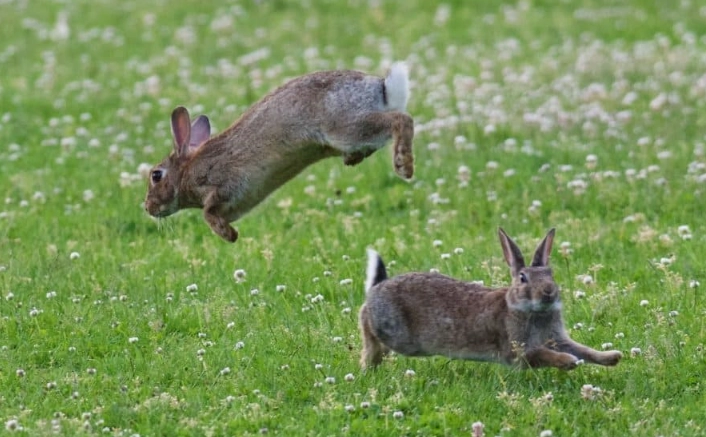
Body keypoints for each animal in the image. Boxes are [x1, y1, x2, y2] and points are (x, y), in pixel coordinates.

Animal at [144, 62, 414, 243]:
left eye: (156, 175)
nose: (147, 207)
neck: (185, 173)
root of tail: (381, 88)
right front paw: (232, 234)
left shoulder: (224, 184)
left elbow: (208, 213)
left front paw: (229, 235)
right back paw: (354, 159)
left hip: (345, 127)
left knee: (402, 120)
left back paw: (404, 165)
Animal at [359, 228, 623, 370]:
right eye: (523, 278)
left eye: (550, 275)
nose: (548, 291)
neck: (530, 310)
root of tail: (377, 287)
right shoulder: (516, 350)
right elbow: (542, 354)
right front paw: (567, 361)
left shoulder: (556, 337)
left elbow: (583, 349)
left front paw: (612, 357)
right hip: (397, 335)